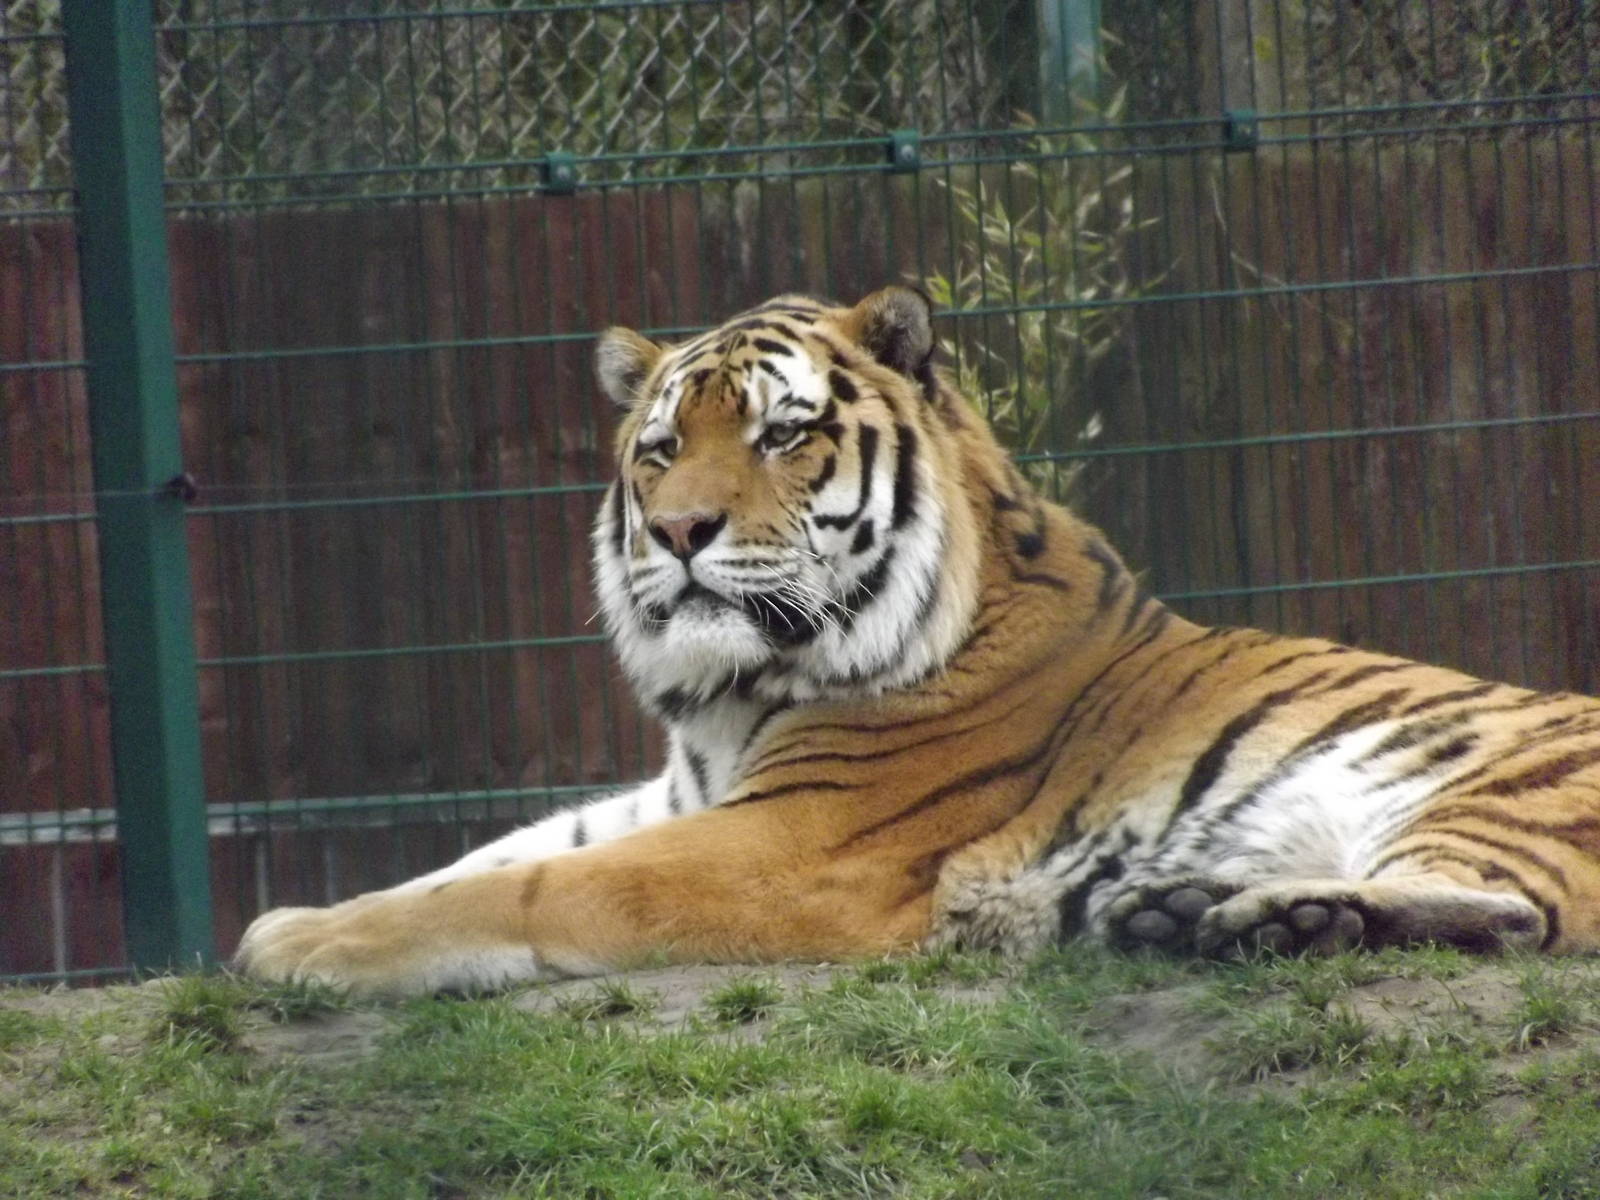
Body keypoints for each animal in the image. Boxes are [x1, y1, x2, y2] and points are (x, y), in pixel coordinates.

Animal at [238, 286, 1600, 995]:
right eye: (663, 448)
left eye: (783, 434)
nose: (676, 531)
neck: (729, 698)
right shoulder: (678, 797)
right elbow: (478, 860)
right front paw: (298, 918)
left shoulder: (793, 847)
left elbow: (526, 883)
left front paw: (297, 946)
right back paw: (1189, 911)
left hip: (1500, 789)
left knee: (1519, 917)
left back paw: (1265, 918)